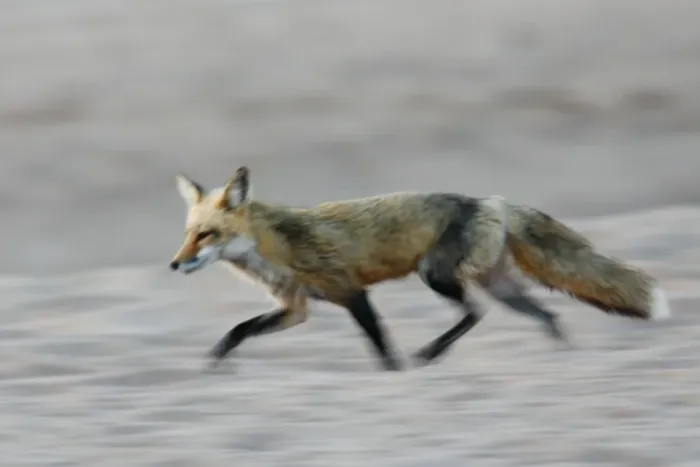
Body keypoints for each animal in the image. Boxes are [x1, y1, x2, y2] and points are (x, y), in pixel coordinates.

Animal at [170, 166, 671, 372]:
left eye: (206, 235)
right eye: (188, 232)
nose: (174, 264)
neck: (274, 247)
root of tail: (491, 201)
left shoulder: (351, 292)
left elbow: (380, 345)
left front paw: (394, 373)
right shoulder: (296, 309)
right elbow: (237, 331)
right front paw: (212, 365)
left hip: (437, 277)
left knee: (474, 313)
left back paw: (431, 353)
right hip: (502, 289)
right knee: (548, 315)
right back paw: (563, 356)